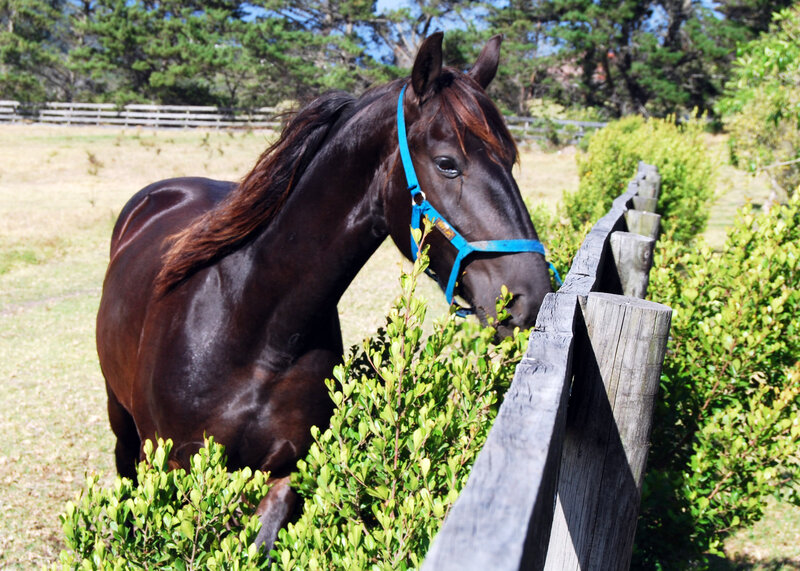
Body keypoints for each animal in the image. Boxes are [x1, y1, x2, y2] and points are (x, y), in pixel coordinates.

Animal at [96, 32, 554, 551]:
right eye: (447, 164)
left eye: (510, 161)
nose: (531, 294)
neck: (253, 325)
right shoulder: (178, 469)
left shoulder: (286, 471)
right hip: (123, 425)